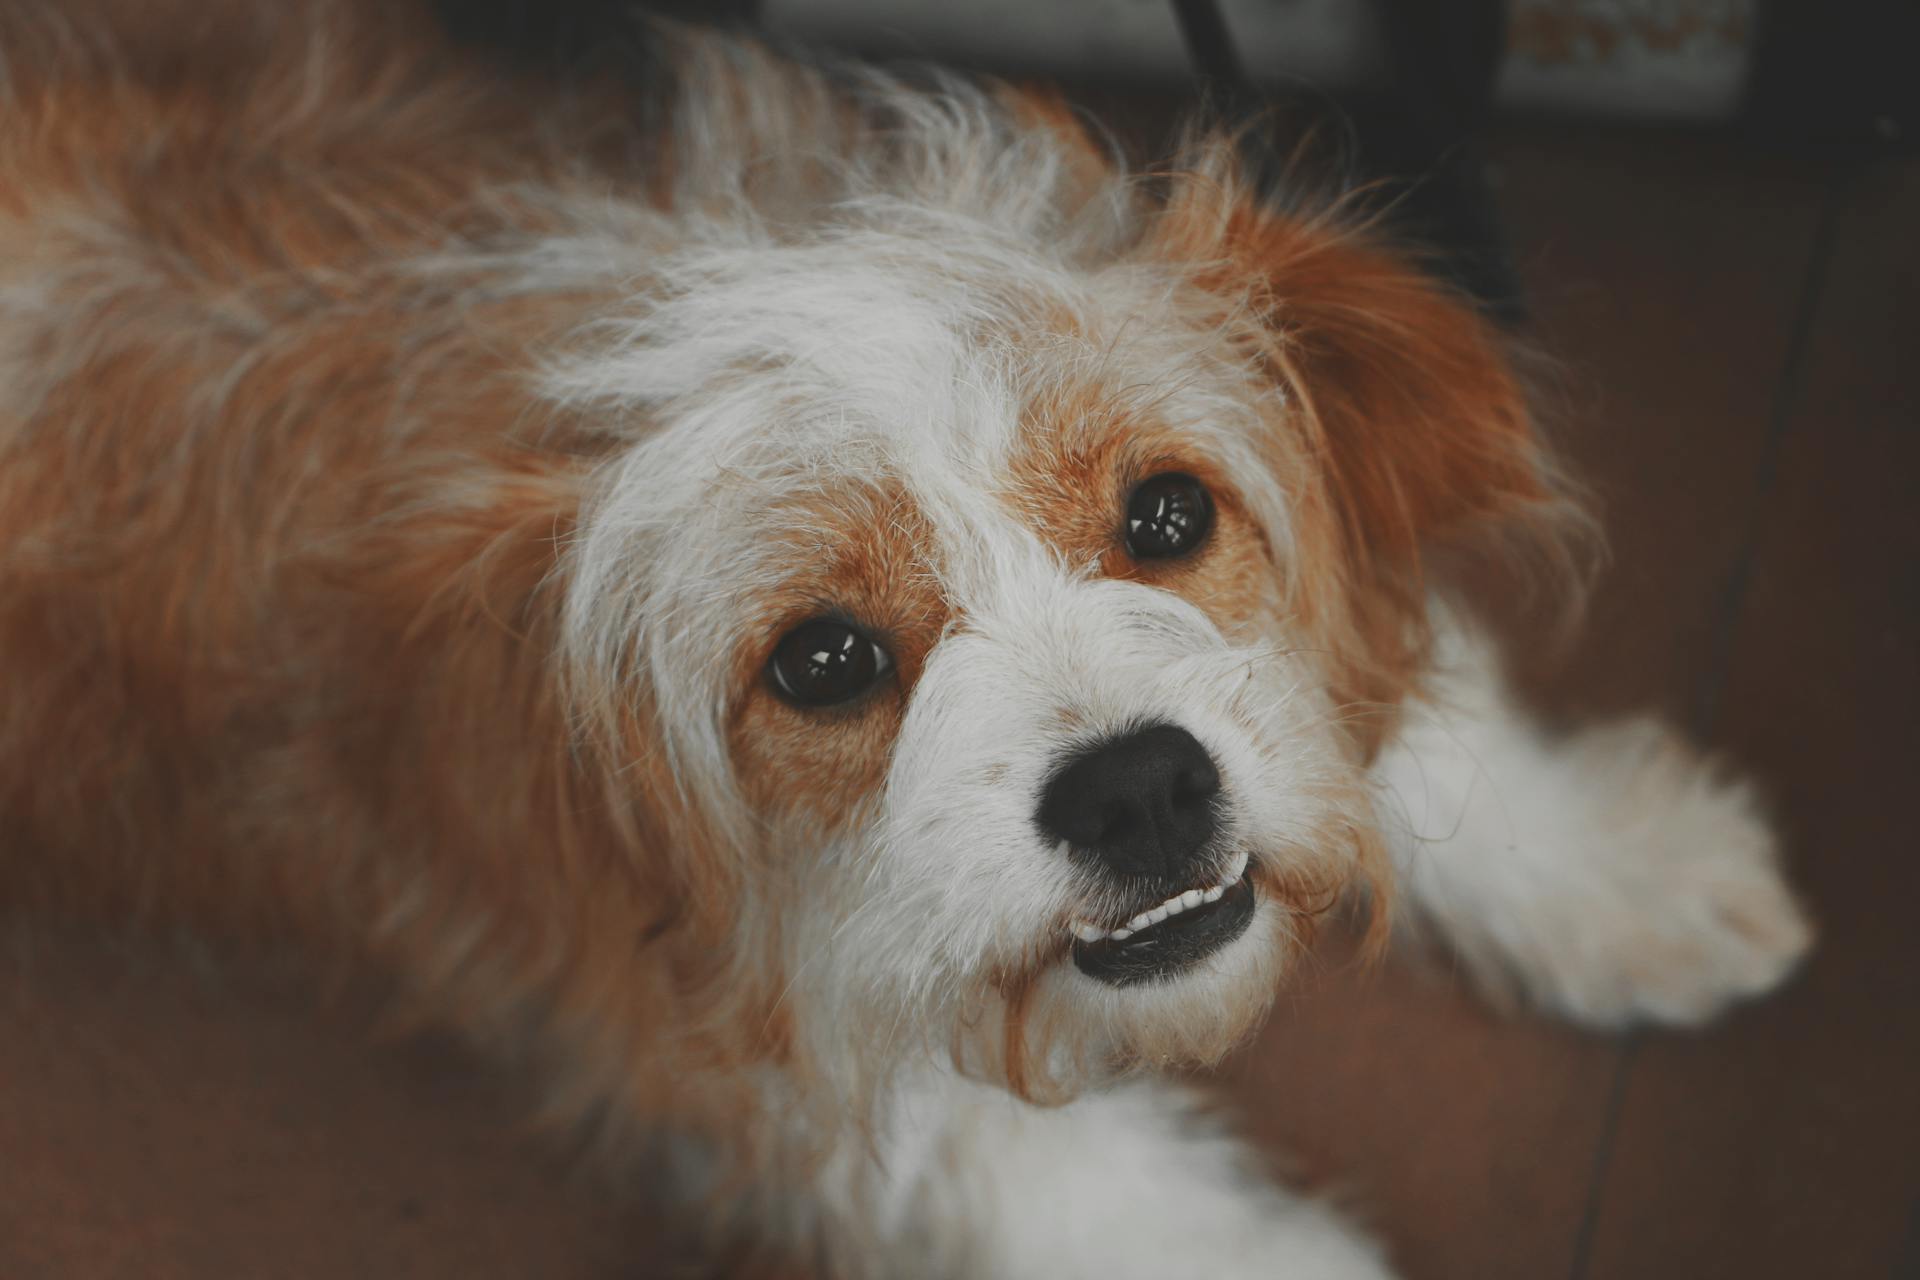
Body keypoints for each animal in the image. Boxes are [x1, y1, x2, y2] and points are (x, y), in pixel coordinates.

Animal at [0, 5, 1812, 1274]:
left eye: (1167, 516)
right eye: (824, 660)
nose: (1142, 790)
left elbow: (1402, 698)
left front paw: (1611, 866)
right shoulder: (711, 1016)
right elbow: (1085, 1193)